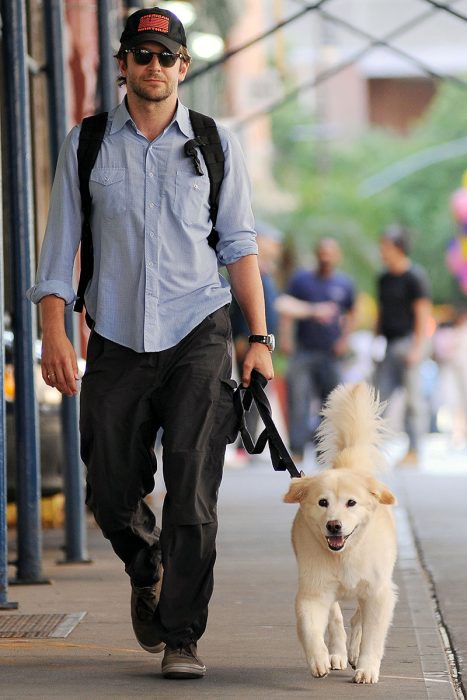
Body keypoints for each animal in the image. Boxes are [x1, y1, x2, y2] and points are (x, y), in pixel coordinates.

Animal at [284, 382, 396, 684]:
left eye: (351, 503)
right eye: (323, 502)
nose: (334, 525)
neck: (345, 554)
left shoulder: (379, 592)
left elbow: (372, 636)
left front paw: (367, 668)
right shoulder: (312, 591)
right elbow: (310, 628)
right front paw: (319, 659)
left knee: (357, 619)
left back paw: (354, 652)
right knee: (335, 619)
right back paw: (336, 654)